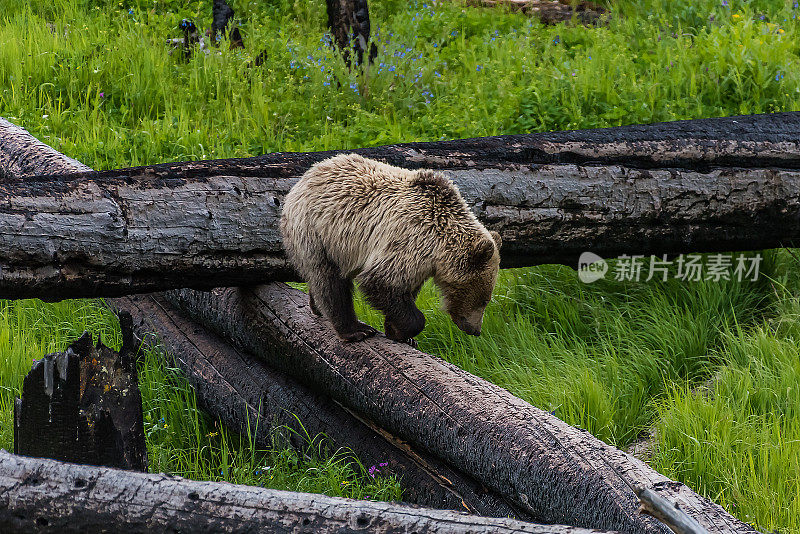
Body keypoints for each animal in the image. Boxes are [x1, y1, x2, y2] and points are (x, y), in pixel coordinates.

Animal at [282, 153, 500, 346]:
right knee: (330, 281)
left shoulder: (421, 261)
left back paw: (316, 306)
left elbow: (403, 291)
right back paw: (355, 330)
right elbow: (380, 282)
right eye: (484, 300)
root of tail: (304, 177)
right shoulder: (409, 239)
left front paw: (398, 331)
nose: (476, 330)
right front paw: (407, 330)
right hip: (317, 233)